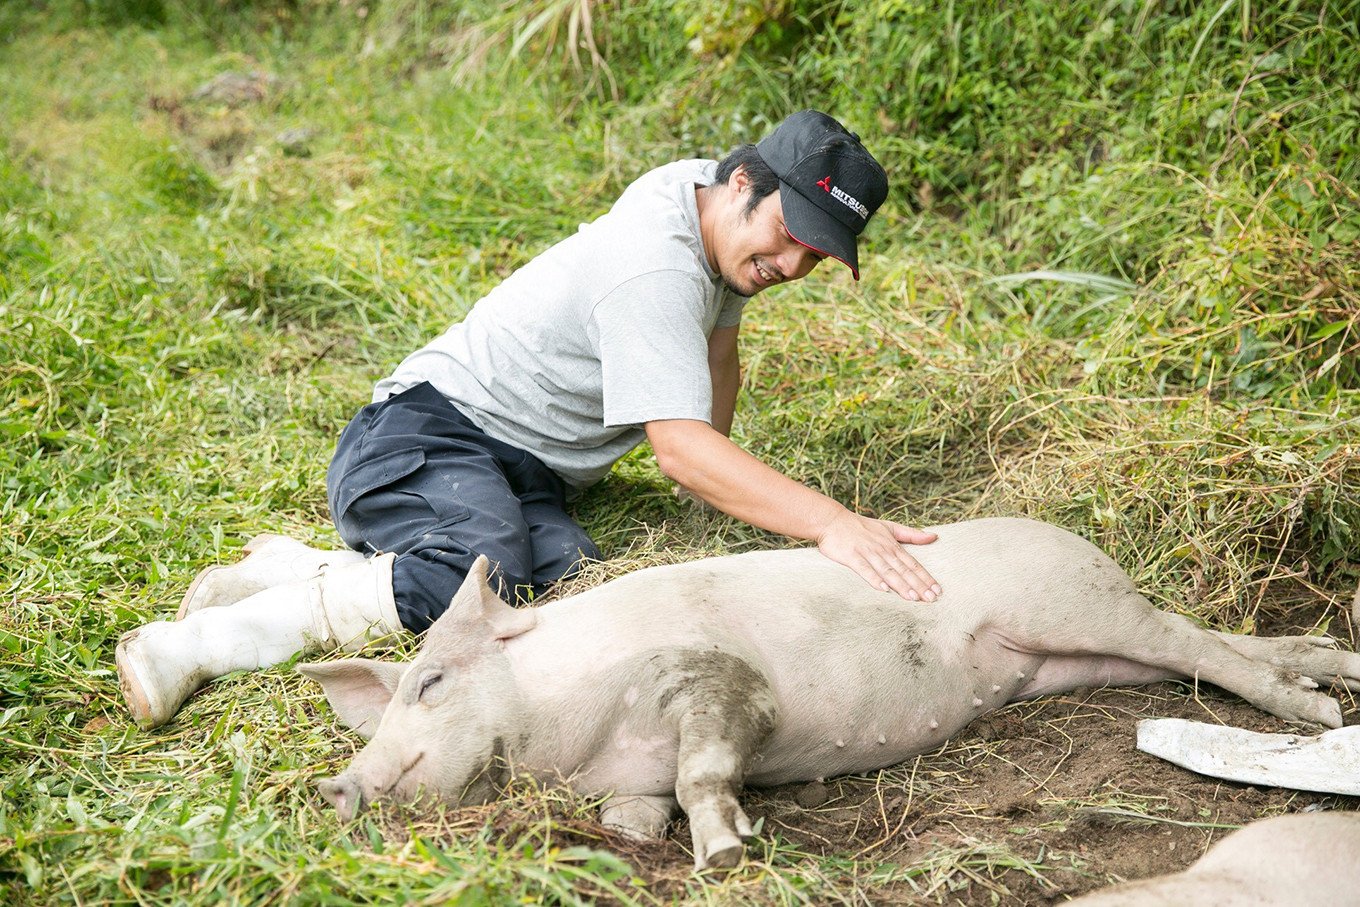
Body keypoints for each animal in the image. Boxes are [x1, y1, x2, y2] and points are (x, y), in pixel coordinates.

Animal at [300, 514, 1360, 870]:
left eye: (431, 679)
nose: (338, 784)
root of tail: (1075, 539)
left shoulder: (720, 680)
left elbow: (704, 768)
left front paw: (726, 852)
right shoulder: (626, 770)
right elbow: (640, 807)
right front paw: (638, 844)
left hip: (1077, 603)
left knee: (1192, 639)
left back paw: (1318, 713)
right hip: (1081, 657)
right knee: (1199, 642)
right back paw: (1331, 665)